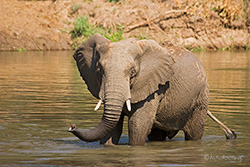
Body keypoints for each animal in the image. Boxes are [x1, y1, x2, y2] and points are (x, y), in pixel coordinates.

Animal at [68, 33, 236, 145]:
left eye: (133, 73)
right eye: (99, 70)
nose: (72, 126)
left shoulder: (154, 88)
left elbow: (137, 125)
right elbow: (113, 128)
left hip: (201, 98)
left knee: (194, 135)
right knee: (157, 135)